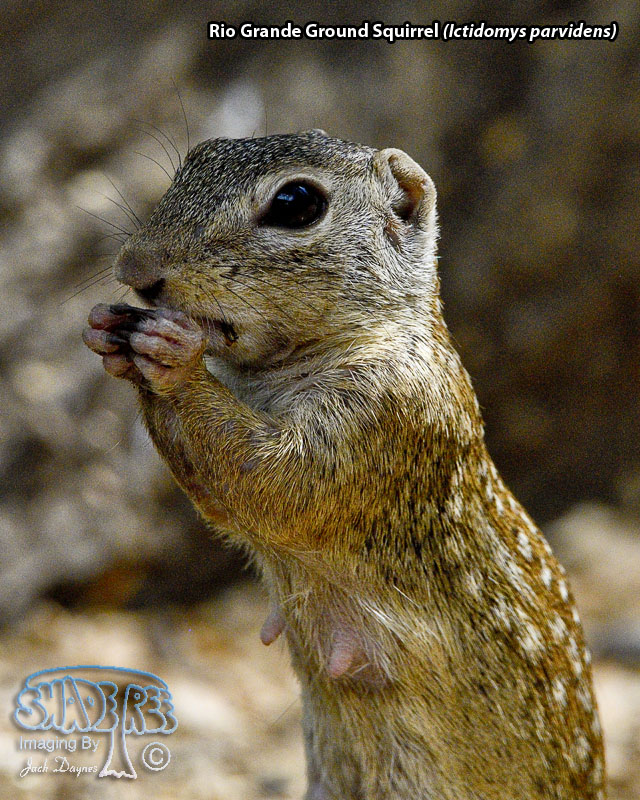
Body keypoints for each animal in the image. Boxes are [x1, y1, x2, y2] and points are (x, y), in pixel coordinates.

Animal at [83, 131, 605, 799]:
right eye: (195, 159)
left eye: (297, 203)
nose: (135, 270)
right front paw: (107, 332)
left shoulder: (382, 414)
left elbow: (264, 477)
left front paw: (172, 357)